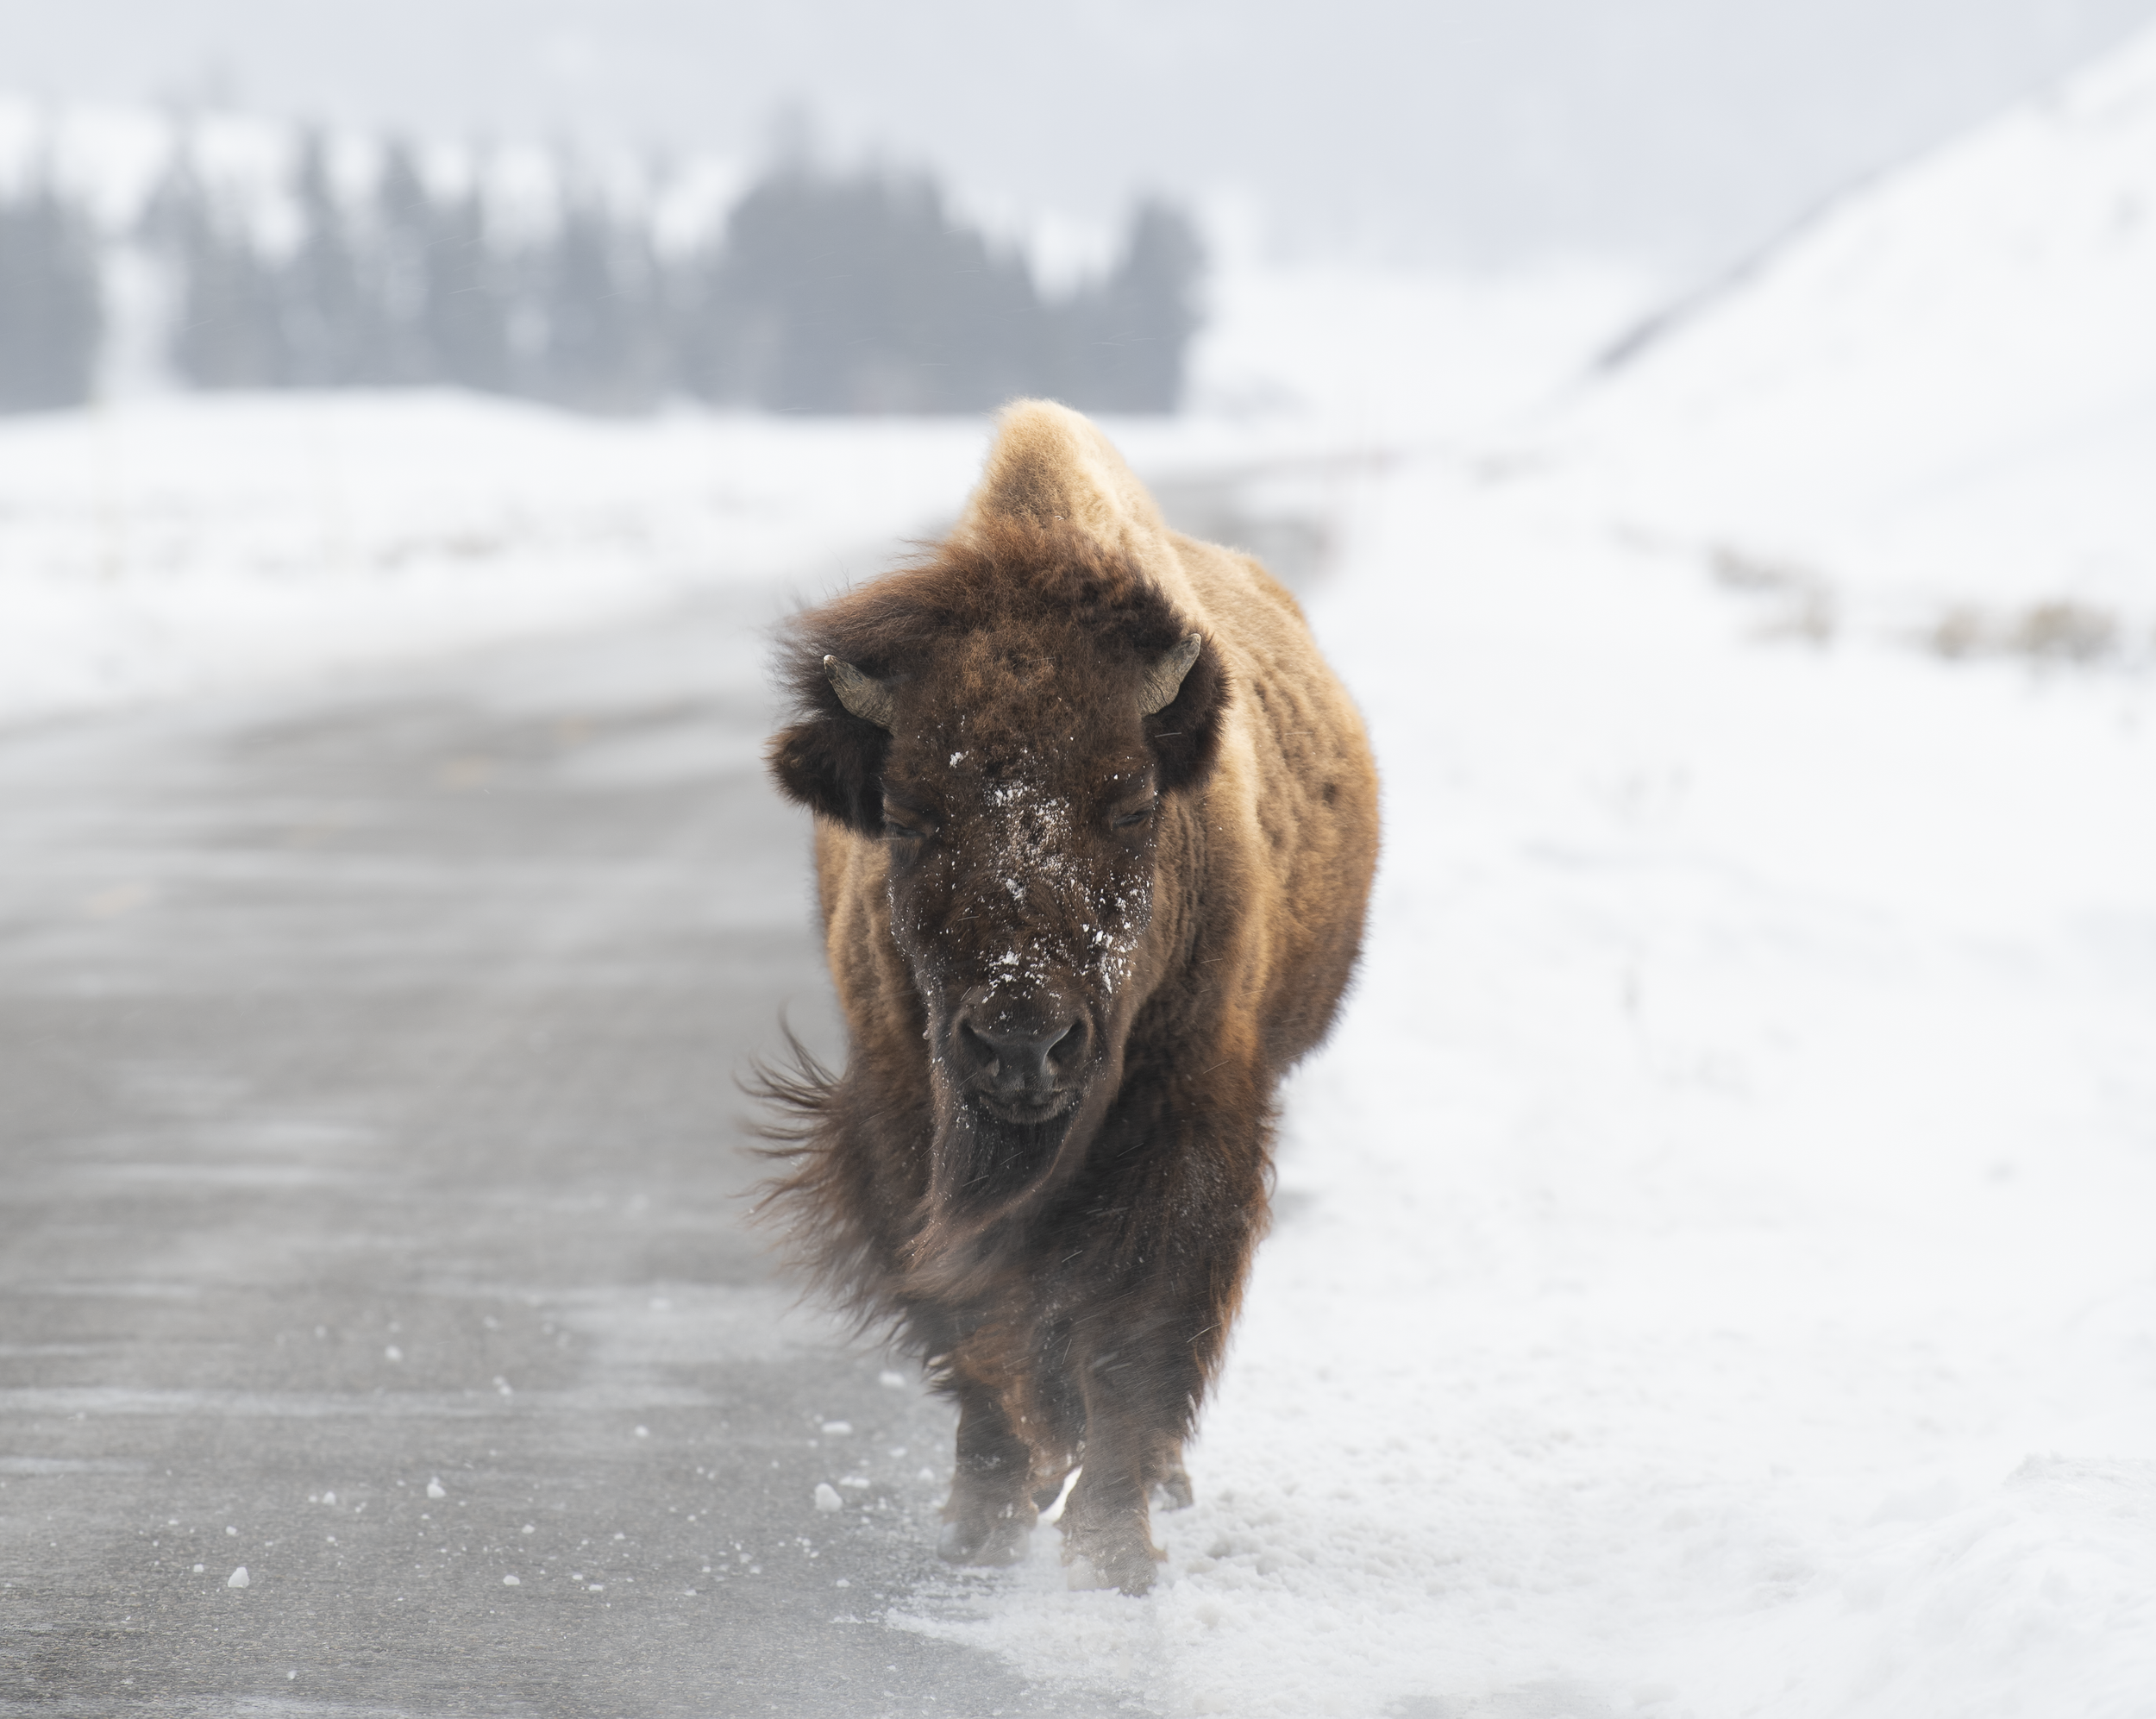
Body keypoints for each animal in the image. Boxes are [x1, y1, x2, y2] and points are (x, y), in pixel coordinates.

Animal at [759, 400, 1378, 1592]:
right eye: (907, 814)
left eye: (1130, 800)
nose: (1022, 1042)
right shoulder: (905, 1124)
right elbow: (980, 1325)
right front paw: (986, 1515)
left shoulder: (1191, 1125)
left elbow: (1137, 1332)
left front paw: (1113, 1548)